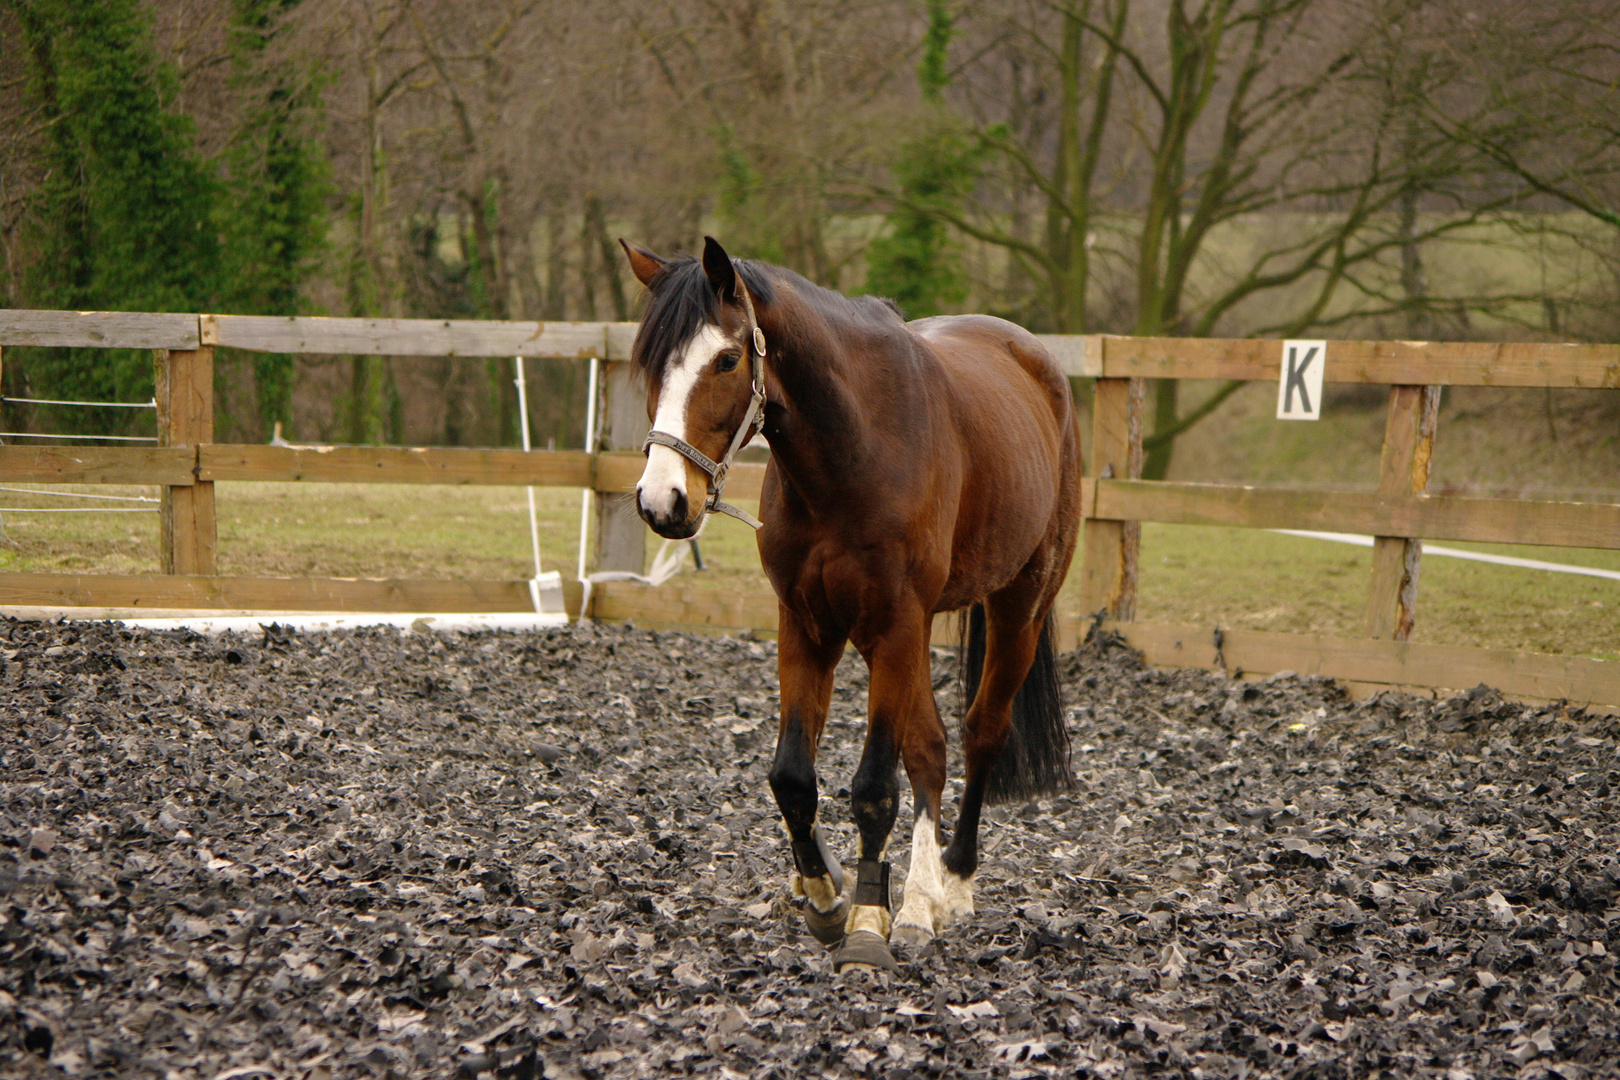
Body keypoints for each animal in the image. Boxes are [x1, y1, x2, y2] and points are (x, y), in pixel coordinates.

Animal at [625, 236, 1082, 971]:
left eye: (726, 360)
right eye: (648, 362)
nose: (662, 501)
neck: (855, 450)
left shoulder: (895, 625)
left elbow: (872, 788)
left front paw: (868, 920)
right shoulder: (807, 626)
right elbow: (792, 777)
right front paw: (826, 896)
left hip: (1017, 608)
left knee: (981, 733)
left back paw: (952, 882)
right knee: (930, 748)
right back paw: (920, 901)